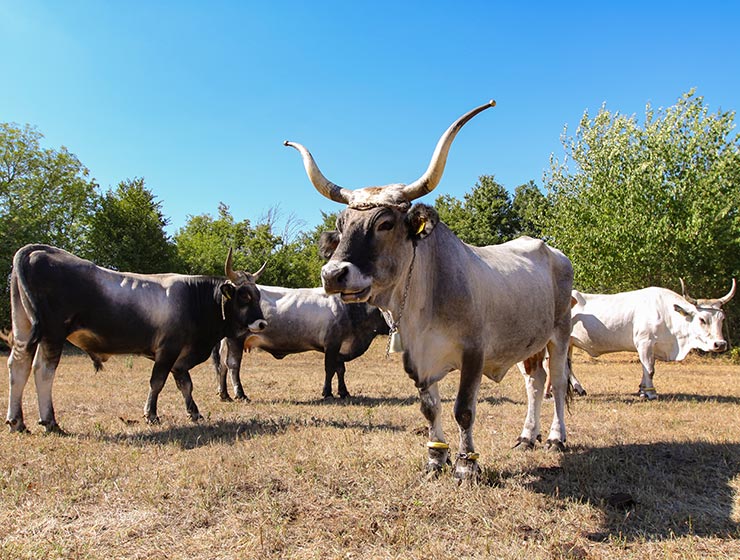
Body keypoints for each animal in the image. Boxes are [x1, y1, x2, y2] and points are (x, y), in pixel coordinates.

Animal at [6, 244, 268, 433]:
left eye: (258, 295)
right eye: (244, 296)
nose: (262, 324)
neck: (194, 298)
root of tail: (37, 250)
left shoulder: (180, 358)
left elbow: (185, 384)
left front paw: (194, 412)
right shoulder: (167, 350)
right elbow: (157, 382)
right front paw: (151, 414)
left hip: (24, 329)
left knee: (18, 366)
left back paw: (17, 422)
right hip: (53, 334)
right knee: (43, 371)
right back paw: (49, 421)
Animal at [211, 287, 389, 401]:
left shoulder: (339, 348)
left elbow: (340, 370)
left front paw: (344, 392)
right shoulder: (332, 344)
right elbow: (330, 369)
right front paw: (327, 393)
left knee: (222, 366)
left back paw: (224, 395)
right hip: (235, 339)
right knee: (233, 365)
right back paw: (240, 394)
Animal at [284, 100, 574, 480]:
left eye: (385, 223)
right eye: (341, 225)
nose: (333, 274)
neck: (422, 306)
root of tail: (551, 251)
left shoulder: (474, 353)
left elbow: (463, 409)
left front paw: (466, 464)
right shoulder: (417, 359)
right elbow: (430, 408)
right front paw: (436, 458)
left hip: (560, 333)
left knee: (557, 382)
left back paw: (556, 437)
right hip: (530, 342)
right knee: (536, 382)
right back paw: (527, 436)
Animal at [566, 279, 735, 400]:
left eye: (722, 319)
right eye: (702, 319)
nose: (720, 344)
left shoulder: (650, 346)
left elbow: (646, 368)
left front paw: (642, 390)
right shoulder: (645, 343)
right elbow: (650, 369)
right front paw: (651, 393)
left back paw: (578, 388)